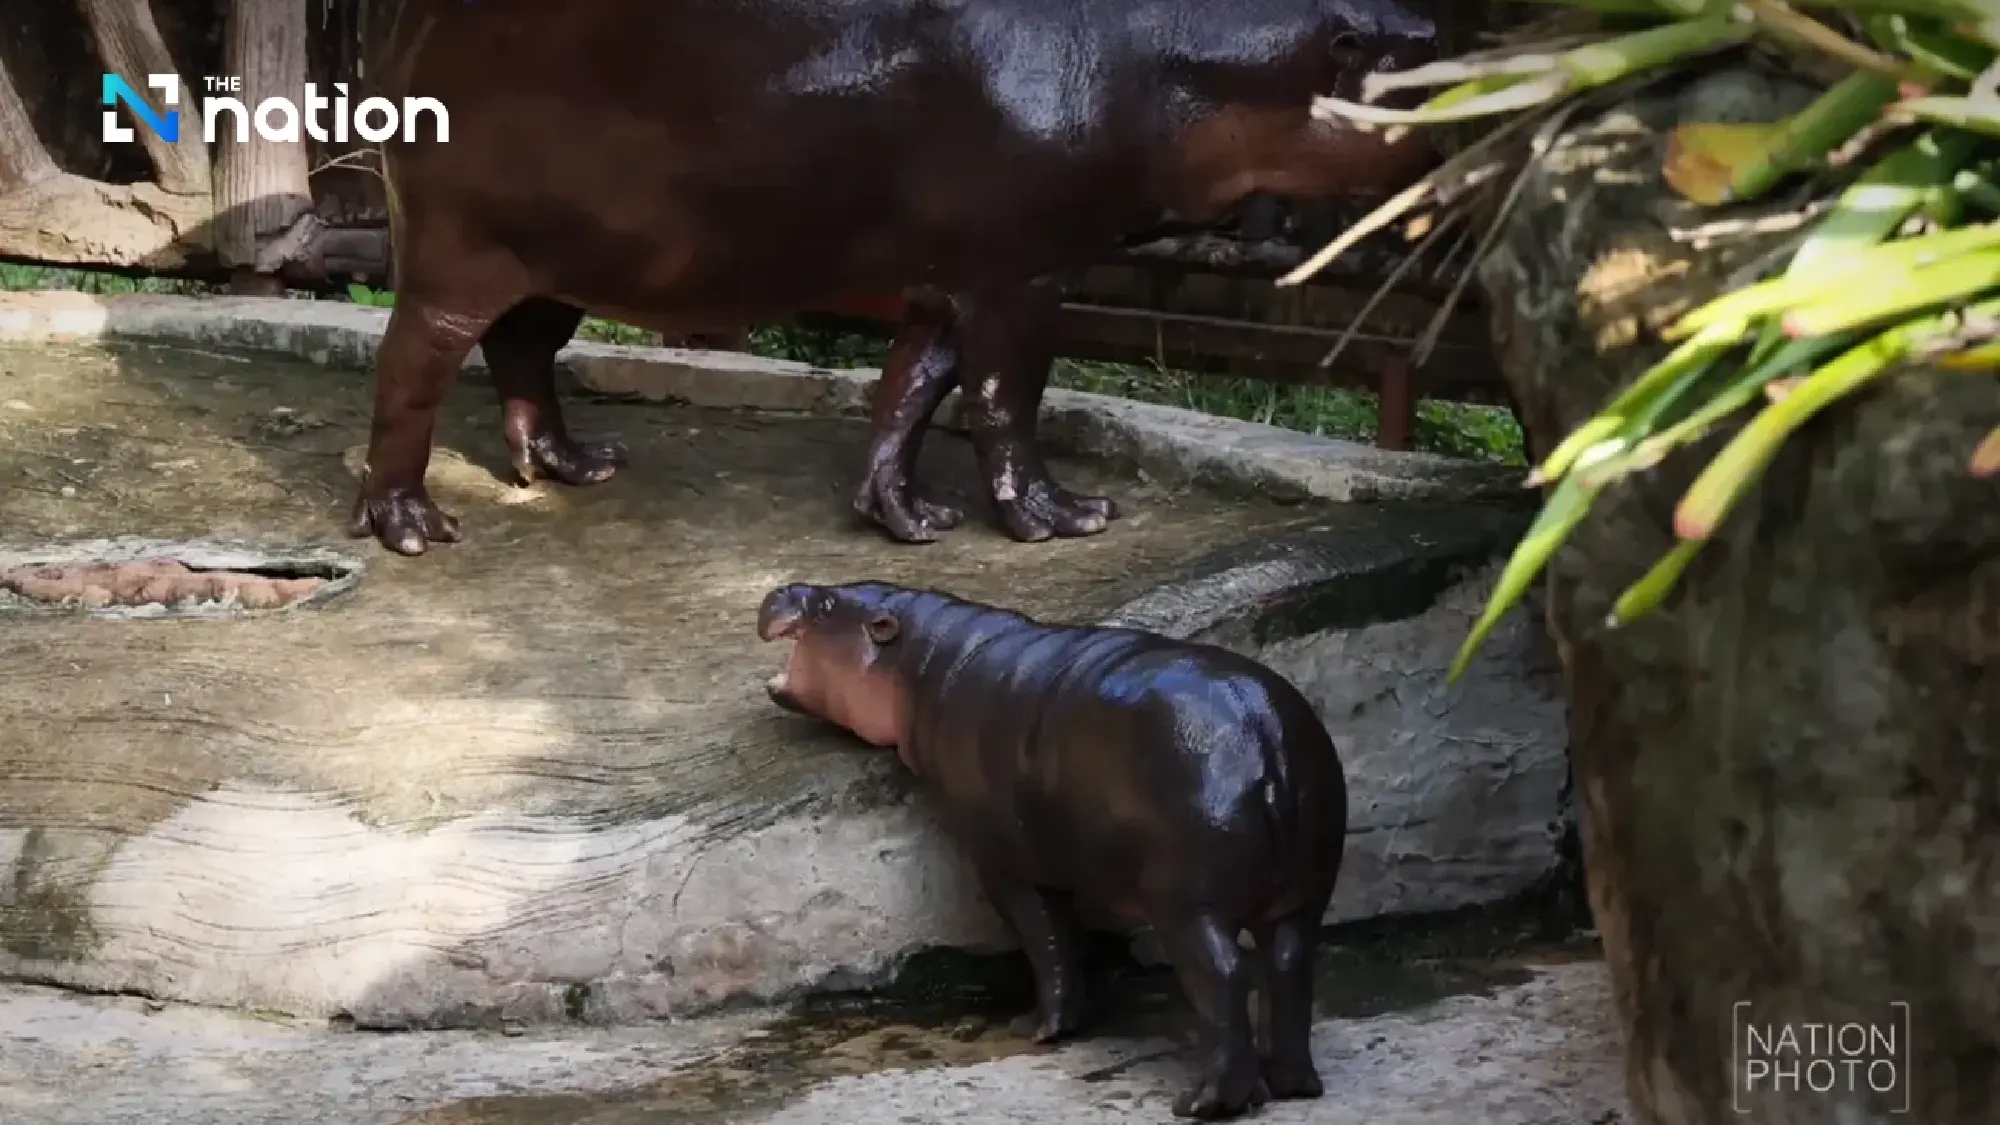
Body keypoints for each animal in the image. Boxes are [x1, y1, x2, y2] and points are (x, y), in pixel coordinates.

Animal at [351, 0, 1440, 556]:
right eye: (1431, 58)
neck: (1193, 56)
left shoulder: (952, 280)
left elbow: (910, 394)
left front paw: (908, 521)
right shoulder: (1020, 277)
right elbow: (1006, 402)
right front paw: (1062, 521)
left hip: (565, 262)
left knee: (523, 355)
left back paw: (575, 467)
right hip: (455, 254)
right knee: (410, 370)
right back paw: (413, 528)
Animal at [757, 580, 1348, 1120]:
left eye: (828, 604)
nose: (783, 589)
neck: (923, 663)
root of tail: (1263, 735)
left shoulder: (1007, 862)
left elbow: (1047, 939)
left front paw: (1036, 1029)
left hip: (1189, 906)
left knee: (1226, 975)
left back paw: (1203, 1102)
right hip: (1304, 891)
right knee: (1290, 966)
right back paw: (1292, 1083)